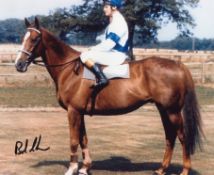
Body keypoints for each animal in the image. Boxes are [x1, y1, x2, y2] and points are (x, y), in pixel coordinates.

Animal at [14, 18, 202, 175]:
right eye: (23, 38)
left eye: (35, 39)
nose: (19, 64)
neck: (69, 69)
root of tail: (177, 64)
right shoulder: (80, 112)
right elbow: (83, 139)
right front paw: (85, 167)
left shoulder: (73, 111)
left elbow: (74, 140)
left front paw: (72, 168)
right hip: (164, 110)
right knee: (170, 136)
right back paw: (161, 169)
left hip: (172, 112)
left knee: (182, 137)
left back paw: (184, 170)